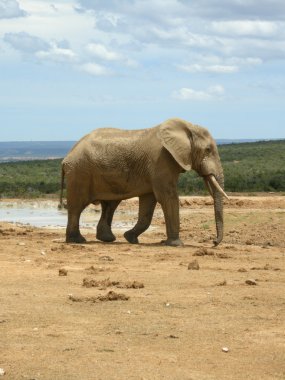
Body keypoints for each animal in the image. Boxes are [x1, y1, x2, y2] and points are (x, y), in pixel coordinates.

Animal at [58, 119, 227, 249]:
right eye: (208, 150)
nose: (213, 242)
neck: (187, 127)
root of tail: (66, 158)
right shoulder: (161, 161)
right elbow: (168, 197)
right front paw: (176, 244)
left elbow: (148, 203)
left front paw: (130, 238)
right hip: (80, 173)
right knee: (77, 206)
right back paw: (77, 240)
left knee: (110, 205)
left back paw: (107, 239)